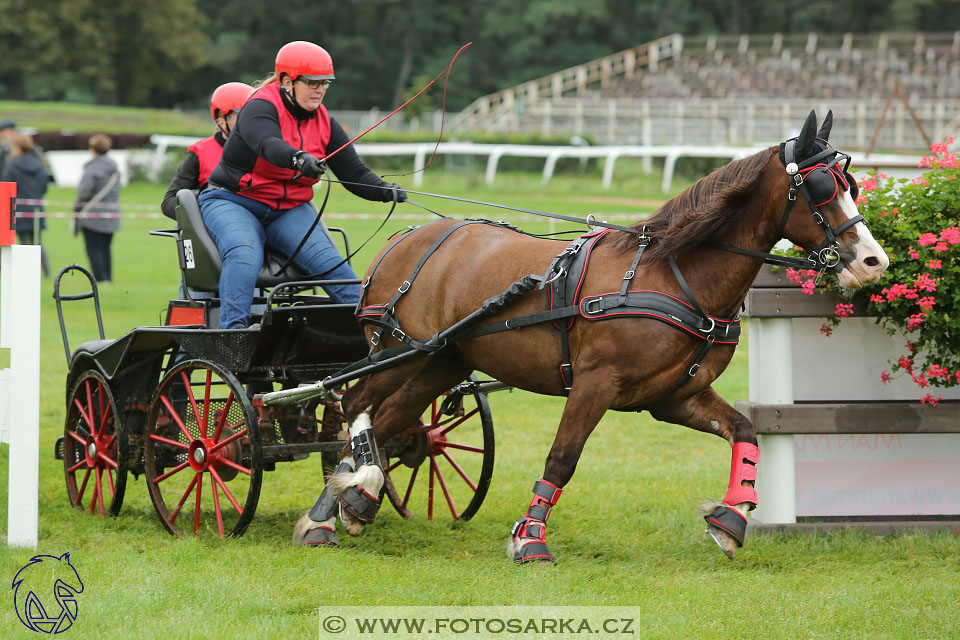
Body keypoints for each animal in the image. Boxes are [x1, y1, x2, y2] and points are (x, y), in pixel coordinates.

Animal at [294, 109, 892, 560]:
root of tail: (408, 238)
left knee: (390, 423)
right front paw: (530, 540)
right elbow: (562, 458)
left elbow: (744, 430)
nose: (873, 261)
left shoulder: (675, 398)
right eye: (820, 186)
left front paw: (732, 516)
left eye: (850, 183)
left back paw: (340, 508)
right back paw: (355, 494)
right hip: (398, 350)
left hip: (440, 362)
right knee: (356, 405)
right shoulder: (595, 384)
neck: (674, 274)